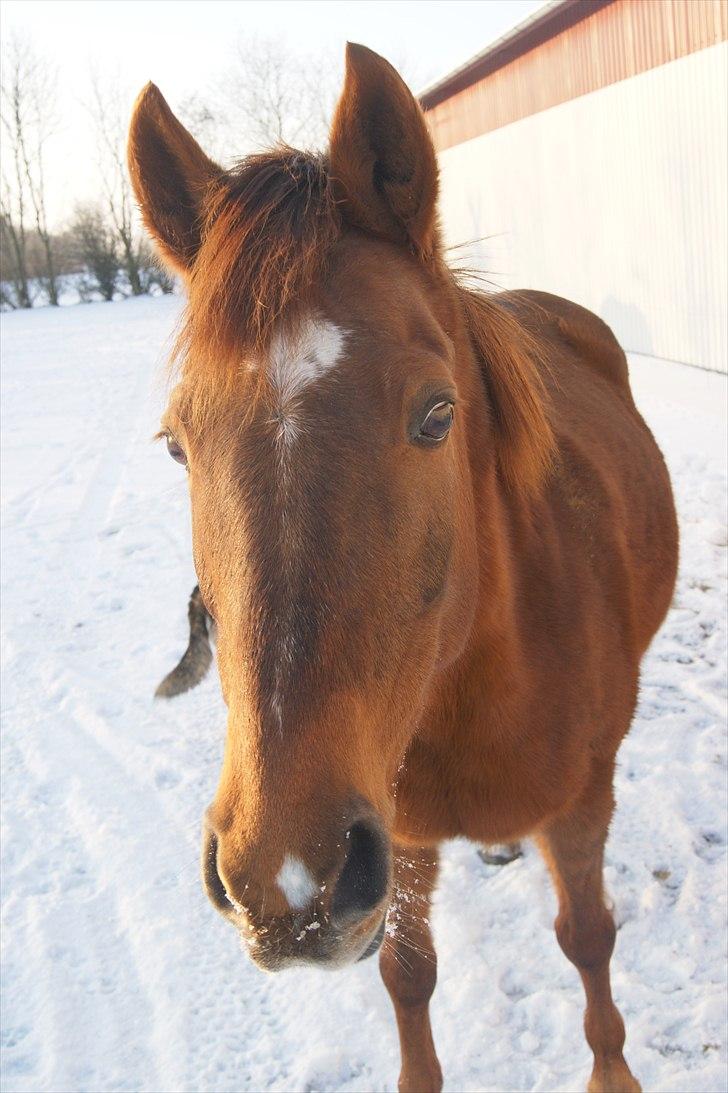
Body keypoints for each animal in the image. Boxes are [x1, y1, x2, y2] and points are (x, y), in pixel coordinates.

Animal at [127, 42, 677, 1093]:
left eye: (437, 413)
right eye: (175, 445)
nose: (283, 880)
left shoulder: (582, 801)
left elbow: (588, 937)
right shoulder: (396, 833)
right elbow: (408, 975)